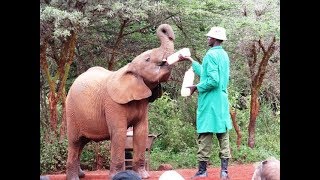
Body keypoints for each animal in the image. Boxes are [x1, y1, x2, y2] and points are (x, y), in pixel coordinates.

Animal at [66, 23, 178, 180]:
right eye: (148, 59)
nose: (166, 31)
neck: (129, 68)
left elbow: (142, 131)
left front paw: (143, 176)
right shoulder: (112, 103)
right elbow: (119, 132)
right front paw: (118, 175)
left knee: (82, 142)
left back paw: (81, 175)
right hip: (71, 111)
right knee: (75, 142)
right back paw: (74, 177)